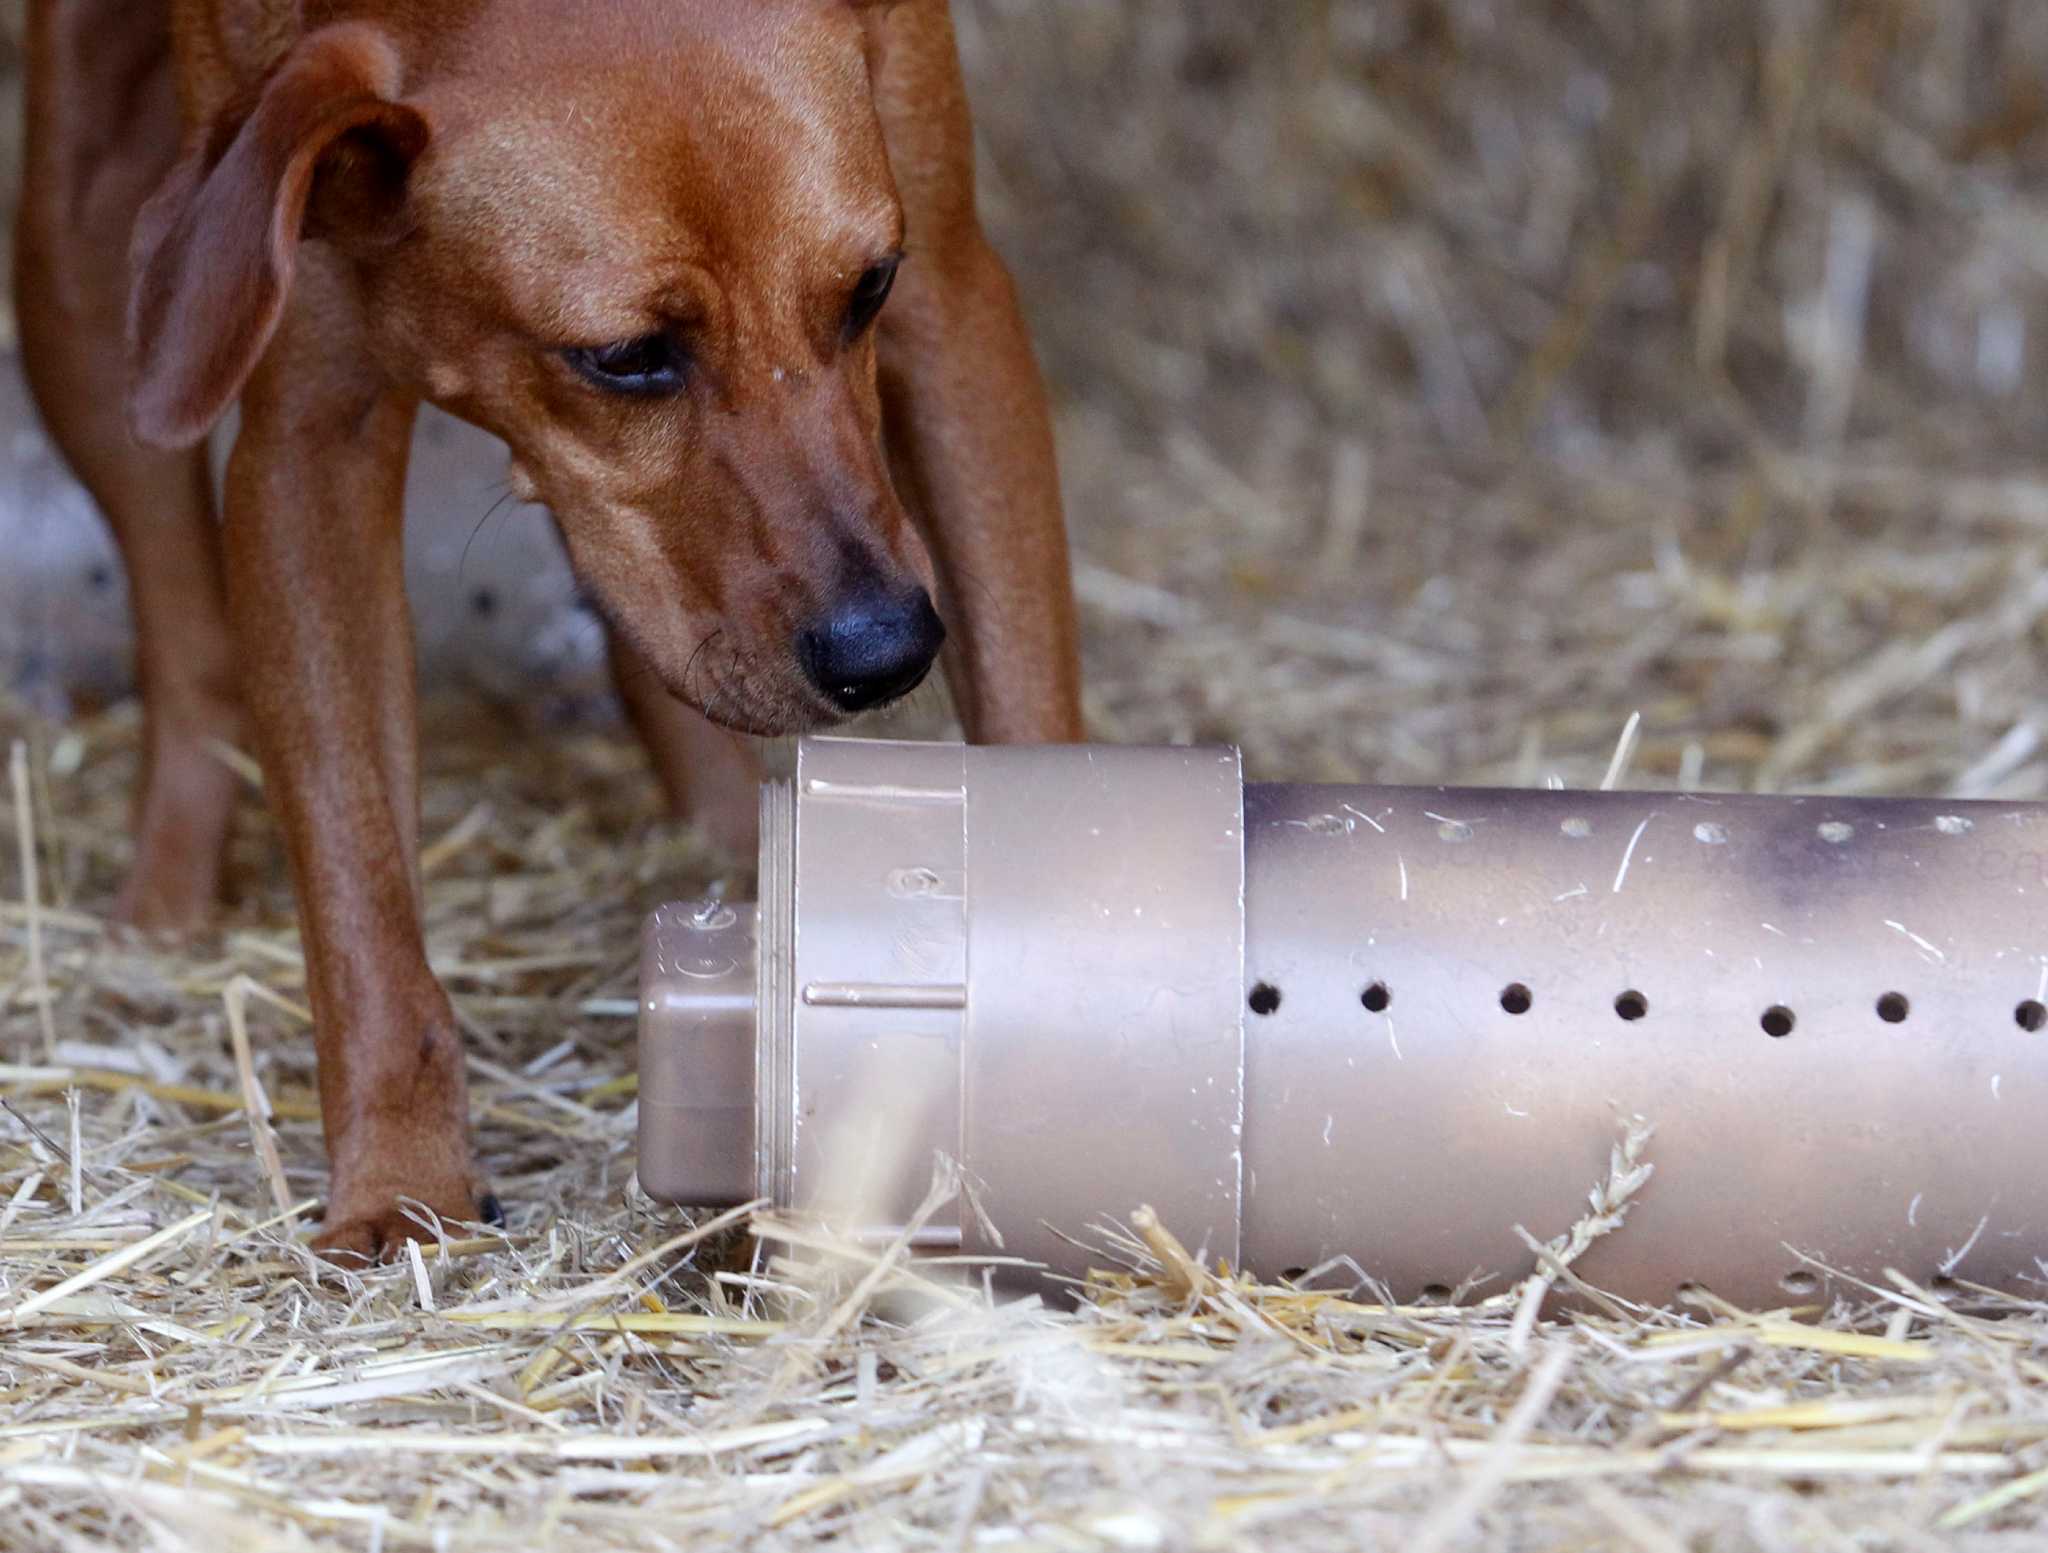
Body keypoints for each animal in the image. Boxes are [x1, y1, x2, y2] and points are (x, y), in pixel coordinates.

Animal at [16, 0, 1081, 1262]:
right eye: (624, 356)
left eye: (868, 288)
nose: (889, 651)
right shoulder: (307, 431)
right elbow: (358, 898)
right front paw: (400, 1183)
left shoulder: (955, 298)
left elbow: (1026, 704)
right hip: (89, 270)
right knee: (183, 622)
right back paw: (163, 901)